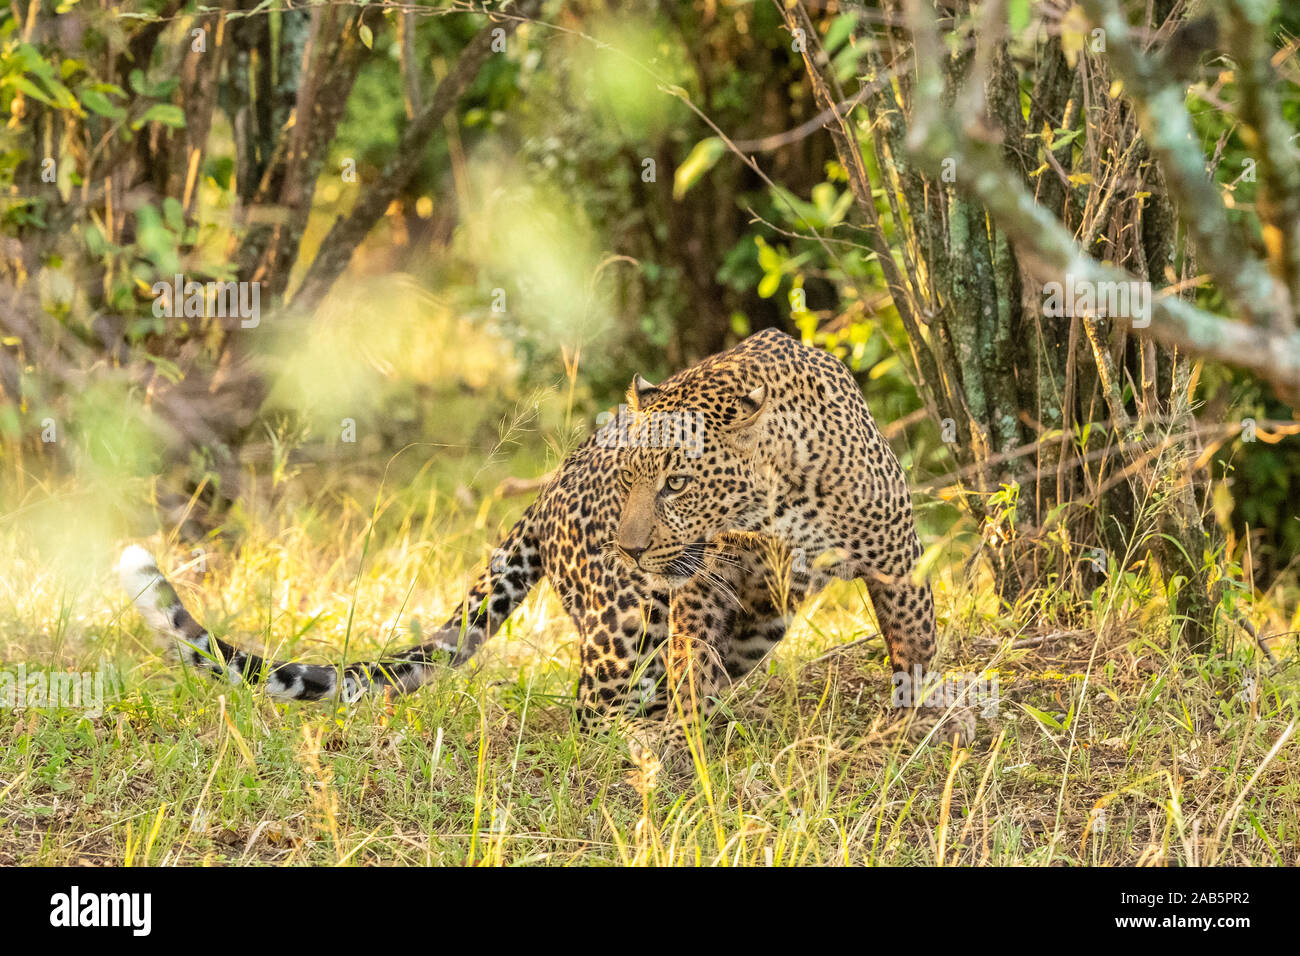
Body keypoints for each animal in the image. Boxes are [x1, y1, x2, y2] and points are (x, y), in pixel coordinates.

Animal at [120, 327, 964, 761]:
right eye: (631, 479)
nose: (629, 548)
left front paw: (920, 717)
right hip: (628, 621)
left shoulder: (895, 557)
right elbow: (689, 665)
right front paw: (684, 741)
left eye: (676, 485)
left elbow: (915, 643)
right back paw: (638, 739)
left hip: (755, 619)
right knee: (592, 707)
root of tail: (553, 486)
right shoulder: (693, 589)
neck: (773, 508)